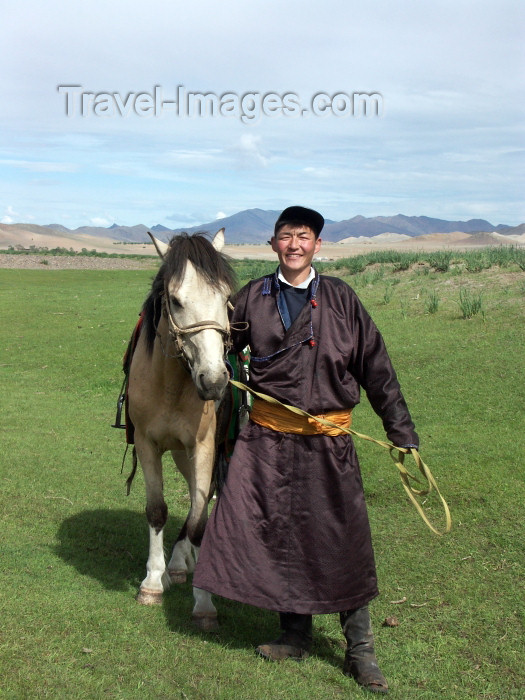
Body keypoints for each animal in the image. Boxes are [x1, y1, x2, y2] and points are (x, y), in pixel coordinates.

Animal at [126, 230, 234, 628]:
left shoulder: (203, 447)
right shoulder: (147, 444)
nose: (215, 381)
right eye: (175, 299)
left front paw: (203, 600)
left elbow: (199, 517)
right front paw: (153, 582)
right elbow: (157, 510)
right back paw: (176, 563)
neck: (172, 384)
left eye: (226, 297)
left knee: (200, 501)